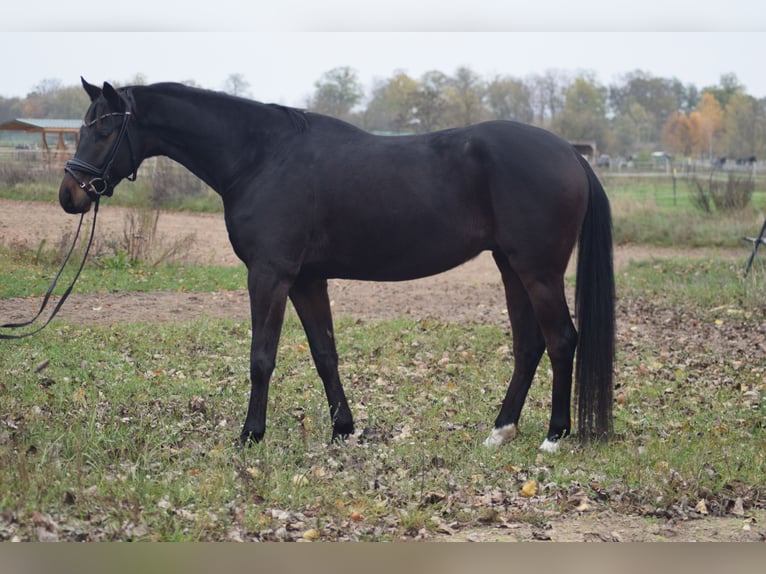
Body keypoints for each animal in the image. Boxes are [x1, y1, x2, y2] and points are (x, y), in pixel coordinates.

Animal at [58, 79, 616, 452]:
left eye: (103, 132)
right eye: (83, 128)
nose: (70, 195)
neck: (261, 156)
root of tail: (571, 153)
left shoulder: (271, 274)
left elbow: (262, 357)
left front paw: (250, 435)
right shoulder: (306, 279)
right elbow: (325, 353)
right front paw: (344, 429)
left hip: (538, 271)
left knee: (561, 340)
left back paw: (554, 436)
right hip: (510, 267)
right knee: (529, 346)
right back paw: (501, 431)